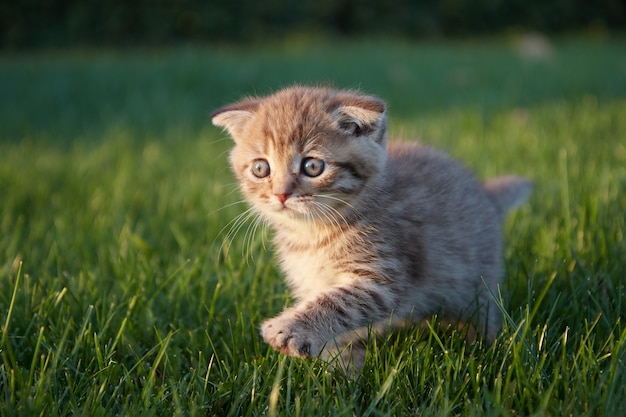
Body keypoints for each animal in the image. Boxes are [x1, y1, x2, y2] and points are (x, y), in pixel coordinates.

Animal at [212, 85, 528, 368]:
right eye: (261, 168)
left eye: (312, 166)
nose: (281, 194)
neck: (312, 234)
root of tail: (485, 195)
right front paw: (341, 363)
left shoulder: (385, 277)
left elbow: (338, 302)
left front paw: (291, 329)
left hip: (477, 281)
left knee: (484, 310)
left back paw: (484, 342)